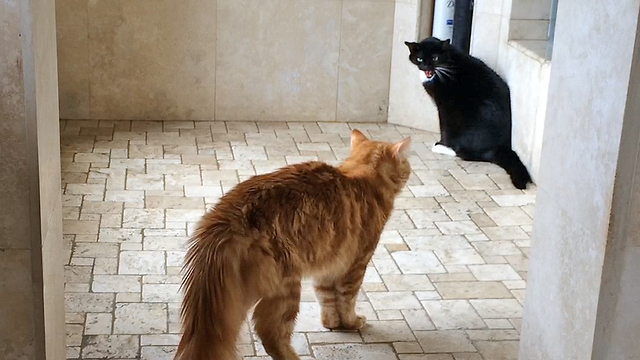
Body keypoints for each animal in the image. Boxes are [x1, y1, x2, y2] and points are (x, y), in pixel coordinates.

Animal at [175, 130, 410, 360]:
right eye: (407, 163)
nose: (410, 170)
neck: (360, 178)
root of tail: (227, 220)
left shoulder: (328, 265)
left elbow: (327, 300)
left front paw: (332, 324)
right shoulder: (356, 264)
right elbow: (347, 300)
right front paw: (352, 323)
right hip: (286, 289)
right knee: (270, 334)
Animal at [402, 37, 532, 190]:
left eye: (435, 58)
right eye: (420, 59)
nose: (426, 68)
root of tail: (500, 147)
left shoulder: (444, 107)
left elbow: (443, 127)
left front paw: (442, 143)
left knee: (468, 154)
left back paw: (442, 148)